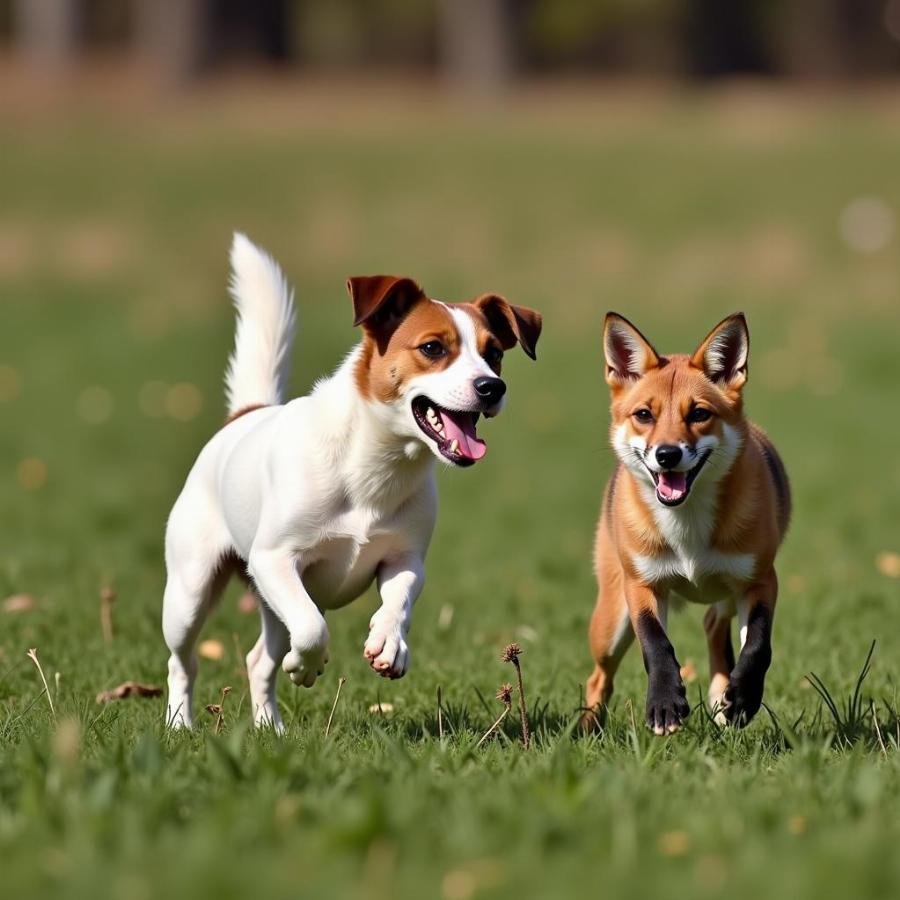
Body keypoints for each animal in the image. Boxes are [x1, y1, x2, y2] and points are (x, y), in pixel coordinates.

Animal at [584, 312, 788, 736]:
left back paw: (723, 699)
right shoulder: (643, 584)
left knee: (713, 624)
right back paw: (586, 730)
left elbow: (758, 646)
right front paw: (664, 705)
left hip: (726, 591)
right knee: (598, 679)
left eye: (699, 414)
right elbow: (656, 645)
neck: (687, 532)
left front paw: (742, 698)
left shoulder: (760, 579)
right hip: (610, 624)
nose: (667, 454)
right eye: (644, 415)